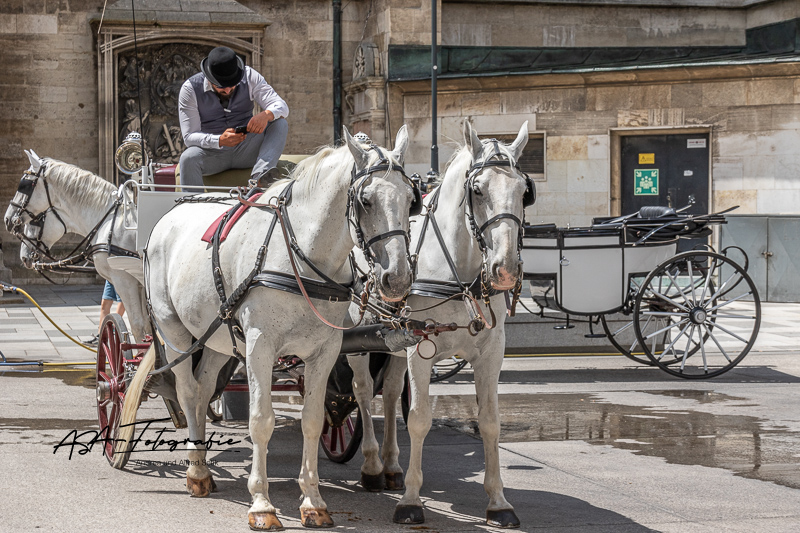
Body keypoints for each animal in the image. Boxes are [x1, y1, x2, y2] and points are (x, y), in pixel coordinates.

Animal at [4, 151, 150, 340]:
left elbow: (138, 326)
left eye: (24, 185)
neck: (112, 220)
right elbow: (149, 328)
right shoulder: (139, 283)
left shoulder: (125, 278)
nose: (7, 219)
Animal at [144, 127, 416, 528]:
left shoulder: (325, 350)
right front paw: (261, 504)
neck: (304, 255)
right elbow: (261, 420)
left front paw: (313, 502)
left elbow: (312, 420)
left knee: (206, 386)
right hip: (173, 330)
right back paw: (196, 471)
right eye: (366, 201)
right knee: (189, 392)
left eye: (412, 199)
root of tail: (174, 210)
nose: (397, 279)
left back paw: (204, 465)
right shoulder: (260, 345)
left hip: (218, 334)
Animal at [348, 121, 532, 528]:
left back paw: (391, 465)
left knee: (389, 392)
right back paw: (372, 465)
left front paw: (499, 502)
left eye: (523, 191)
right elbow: (419, 419)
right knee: (364, 392)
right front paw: (411, 501)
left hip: (394, 341)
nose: (506, 269)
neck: (458, 274)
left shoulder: (490, 353)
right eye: (477, 190)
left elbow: (490, 422)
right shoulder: (422, 349)